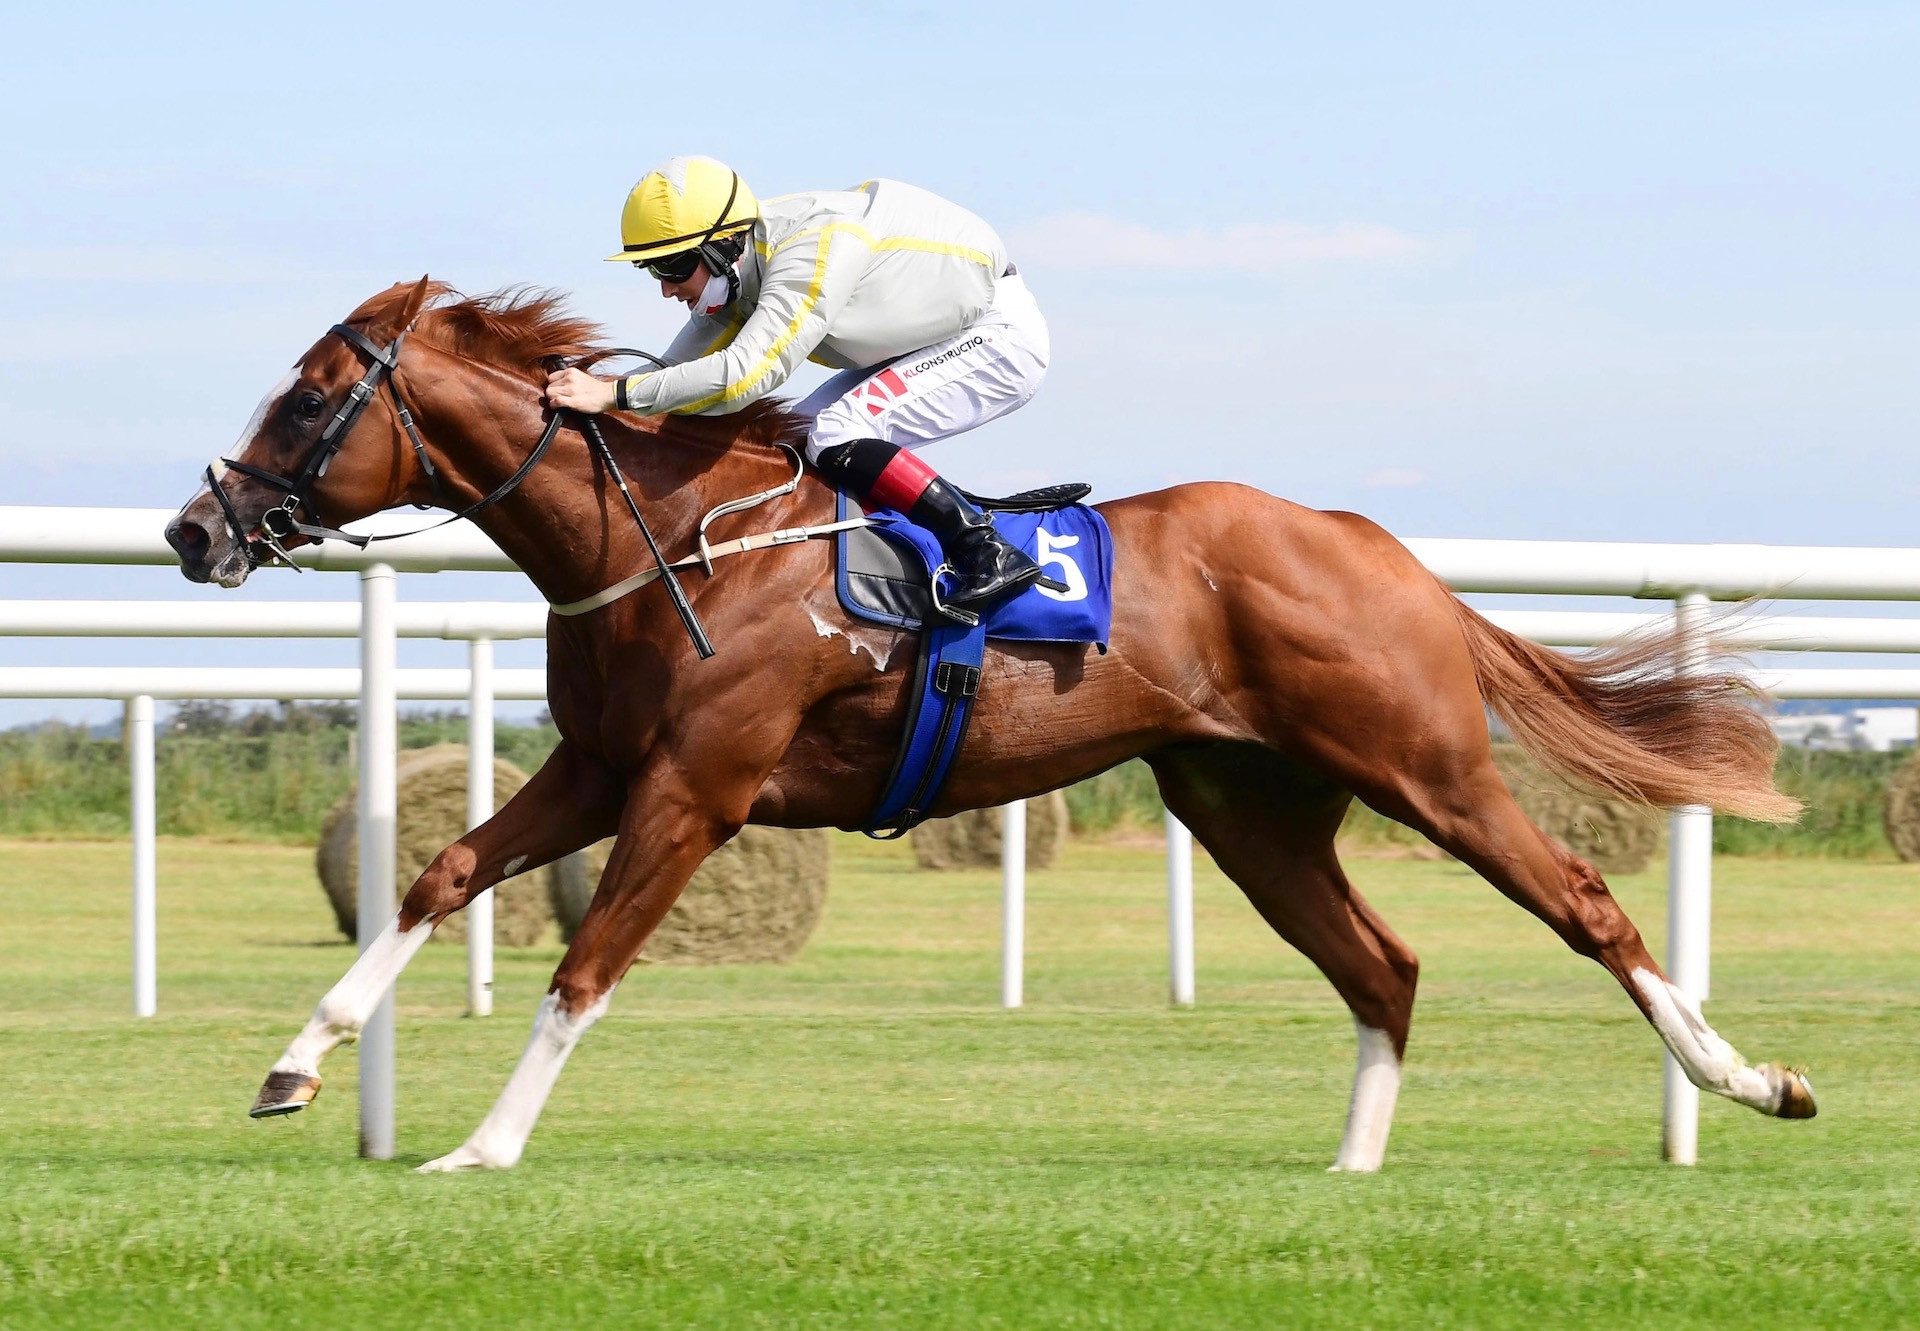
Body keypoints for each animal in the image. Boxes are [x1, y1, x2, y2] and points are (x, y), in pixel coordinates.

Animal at [165, 274, 1812, 1167]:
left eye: (307, 399)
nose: (197, 527)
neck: (673, 535)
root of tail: (1376, 545)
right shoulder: (602, 765)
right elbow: (440, 874)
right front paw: (296, 1065)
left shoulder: (700, 783)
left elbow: (585, 964)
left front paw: (482, 1141)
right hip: (1248, 807)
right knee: (1382, 965)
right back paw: (1350, 1164)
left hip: (1424, 764)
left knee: (1584, 896)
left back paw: (1753, 1079)